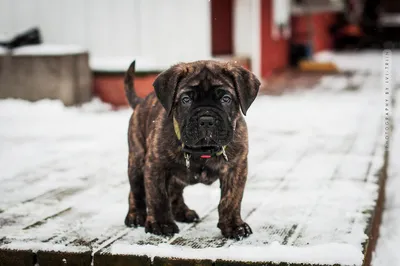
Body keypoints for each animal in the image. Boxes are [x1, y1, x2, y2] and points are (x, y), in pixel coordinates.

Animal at [123, 59, 260, 239]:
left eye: (226, 98)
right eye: (186, 99)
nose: (206, 120)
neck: (203, 150)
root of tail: (141, 102)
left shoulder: (235, 167)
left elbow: (231, 199)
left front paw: (233, 225)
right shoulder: (156, 165)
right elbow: (157, 196)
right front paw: (161, 224)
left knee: (174, 191)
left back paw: (183, 212)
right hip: (137, 161)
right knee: (136, 190)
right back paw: (135, 215)